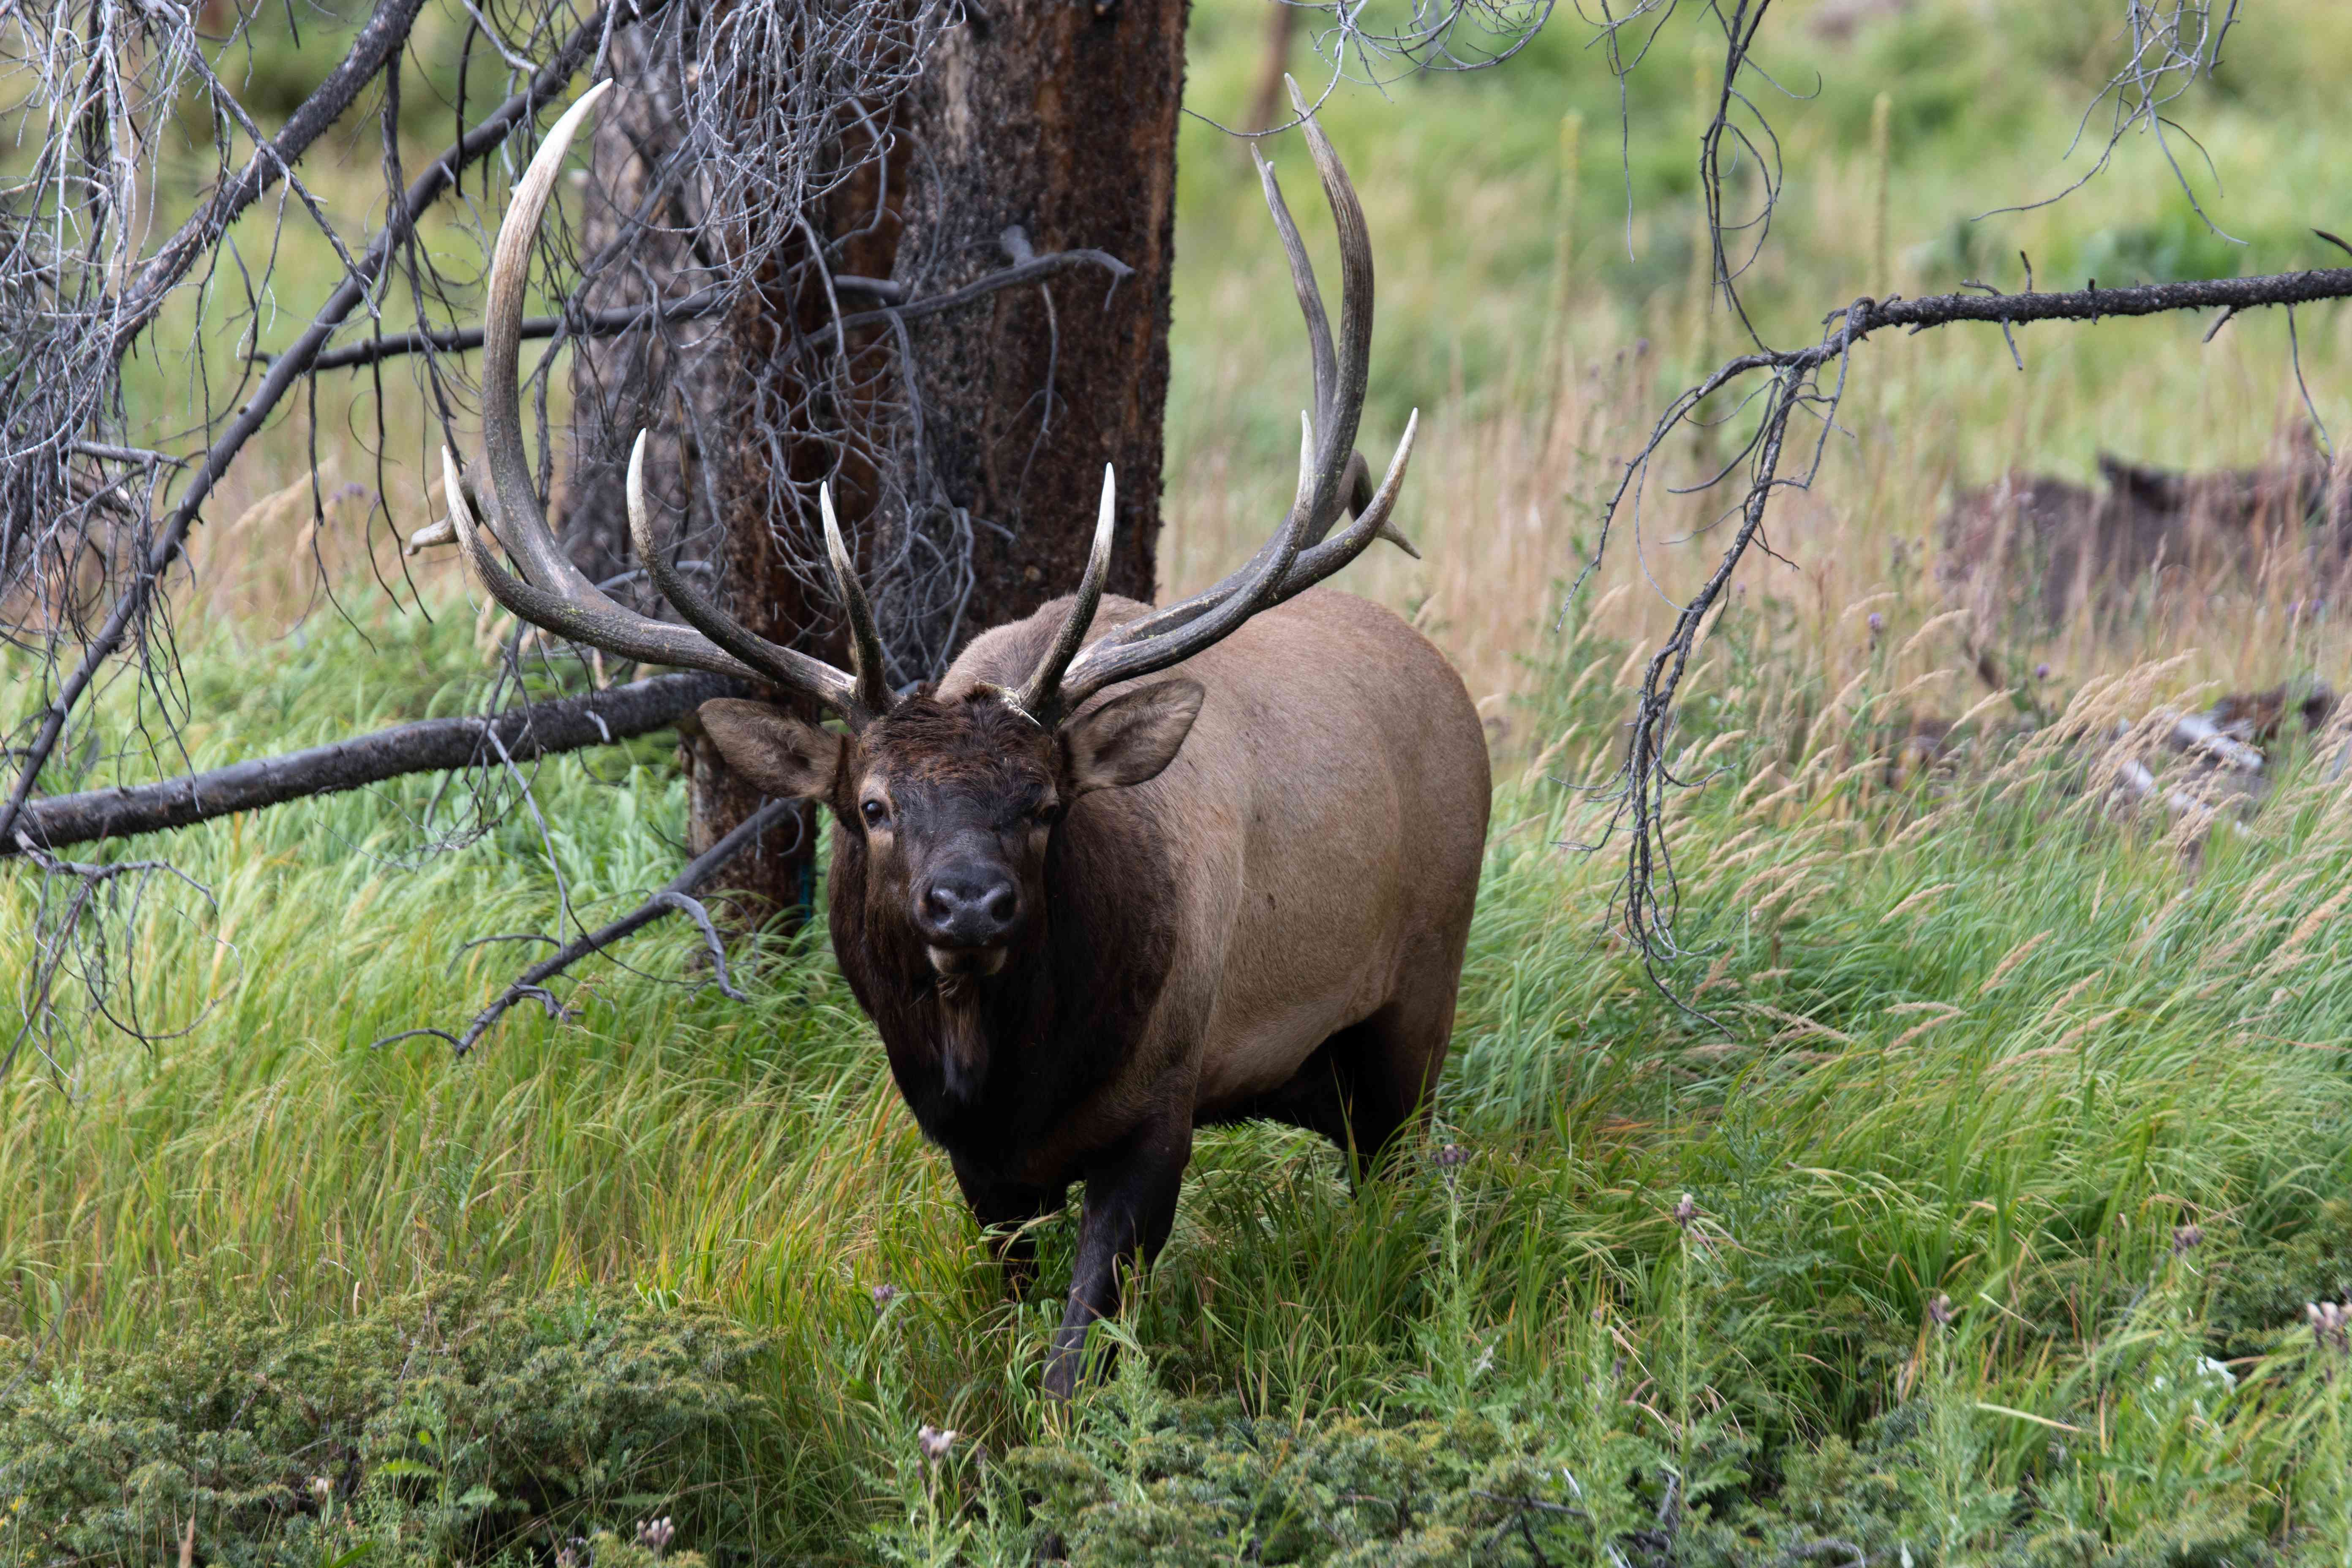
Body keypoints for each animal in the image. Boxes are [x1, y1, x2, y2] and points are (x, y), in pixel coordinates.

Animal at [442, 83, 1486, 1401]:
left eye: (1044, 805)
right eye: (872, 804)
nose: (970, 904)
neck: (1010, 1079)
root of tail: (1445, 682)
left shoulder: (1162, 1108)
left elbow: (1073, 1361)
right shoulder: (974, 1165)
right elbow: (1007, 1323)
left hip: (1415, 1000)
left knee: (1404, 1172)